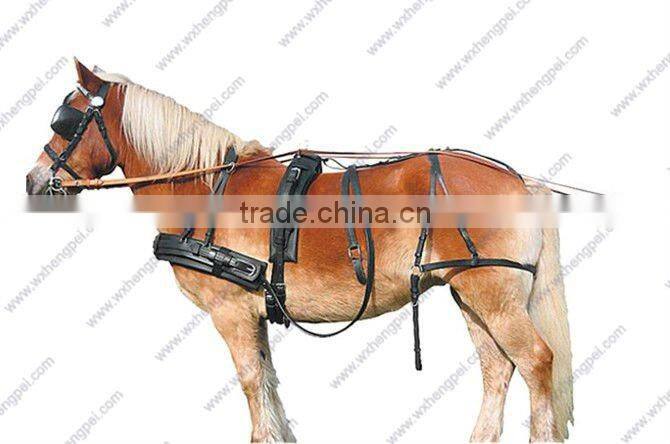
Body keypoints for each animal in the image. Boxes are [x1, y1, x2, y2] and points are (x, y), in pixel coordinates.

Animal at [26, 60, 573, 443]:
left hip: (493, 293)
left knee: (535, 362)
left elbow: (250, 380)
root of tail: (519, 181)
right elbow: (267, 379)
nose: (33, 179)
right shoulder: (255, 311)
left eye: (65, 121)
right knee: (498, 369)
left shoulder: (230, 310)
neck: (206, 188)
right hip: (469, 291)